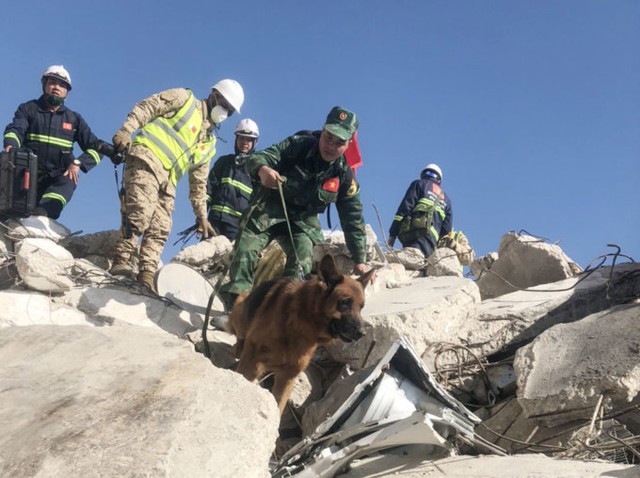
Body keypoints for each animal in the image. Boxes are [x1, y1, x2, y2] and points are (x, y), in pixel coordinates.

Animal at [228, 254, 376, 414]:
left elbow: (278, 406)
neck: (300, 325)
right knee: (240, 335)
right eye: (344, 302)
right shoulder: (252, 361)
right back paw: (238, 347)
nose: (363, 333)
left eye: (361, 307)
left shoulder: (287, 377)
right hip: (240, 308)